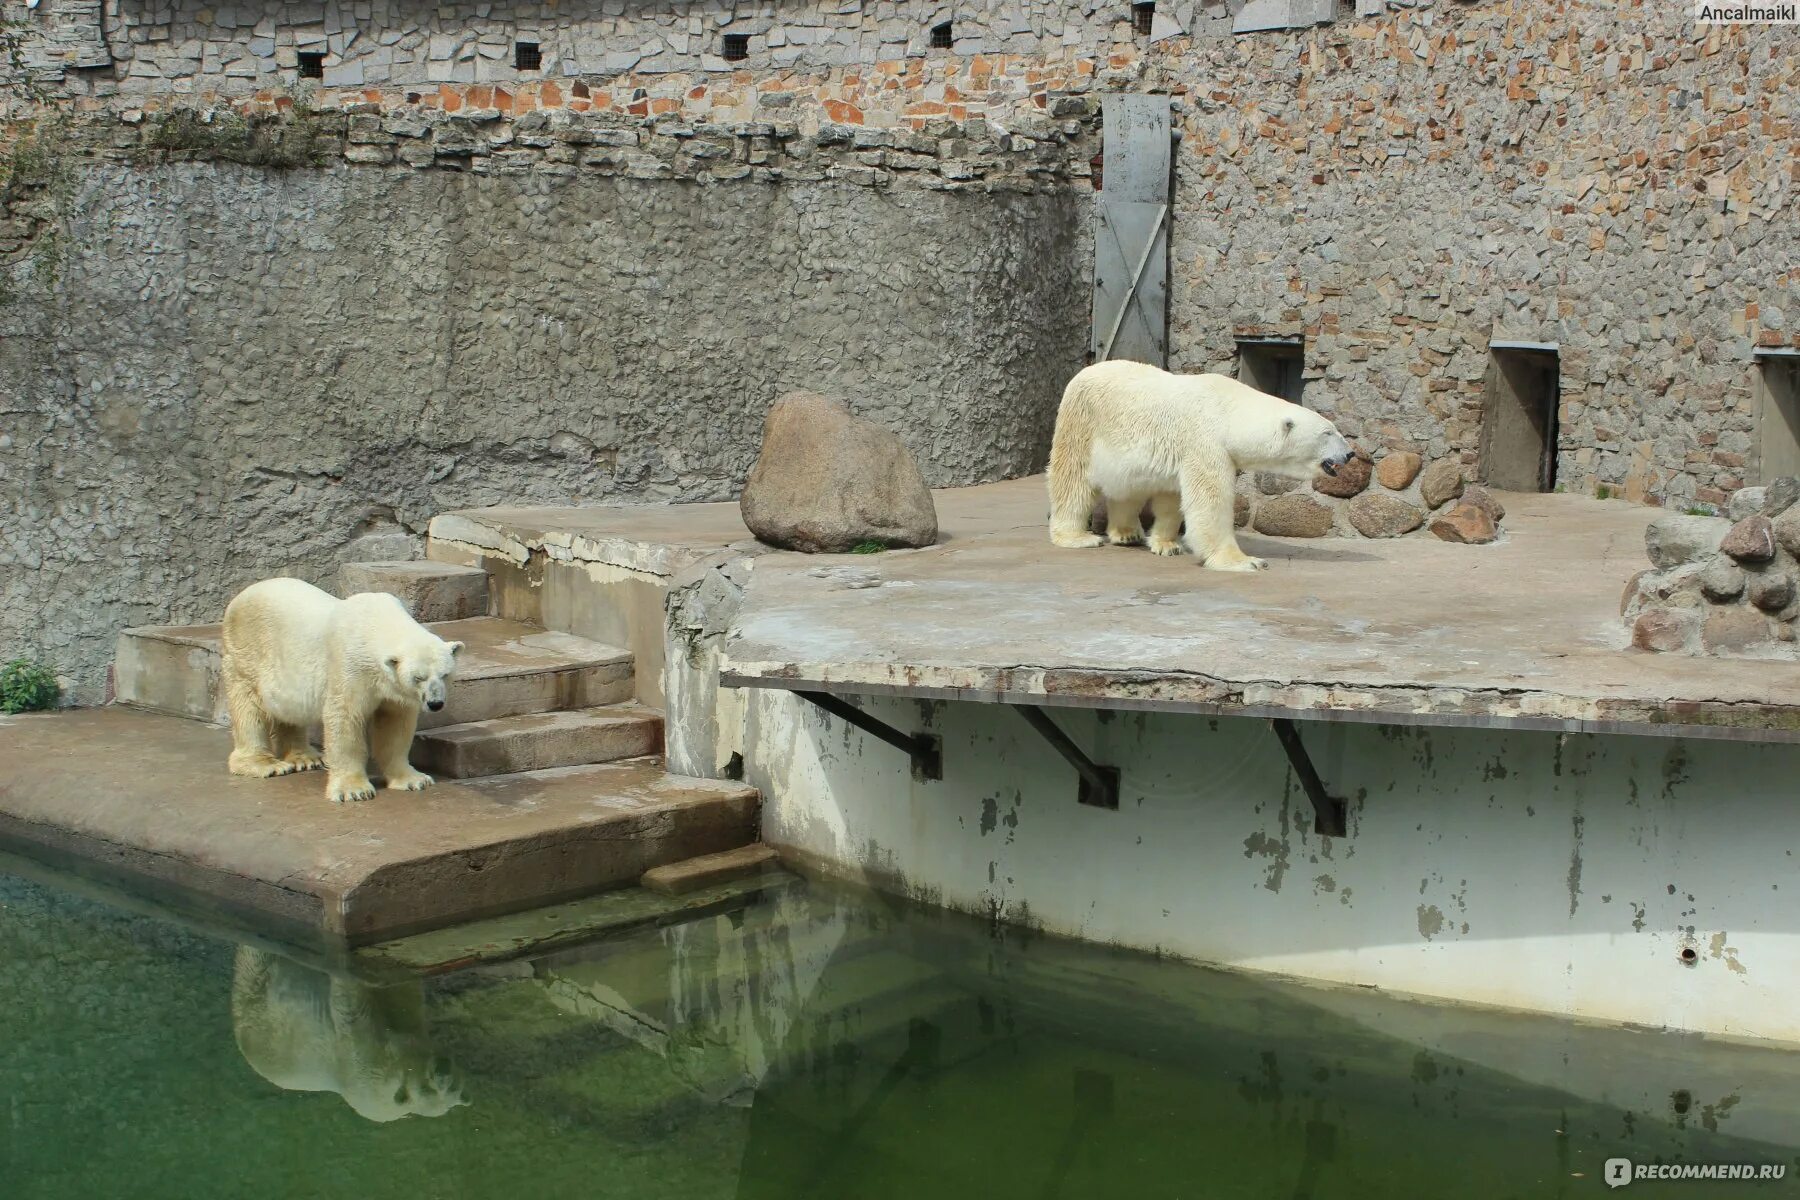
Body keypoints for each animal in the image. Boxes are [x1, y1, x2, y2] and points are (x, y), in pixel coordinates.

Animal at [219, 575, 464, 802]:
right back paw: (265, 764)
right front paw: (353, 790)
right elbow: (345, 717)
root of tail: (239, 598)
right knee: (248, 707)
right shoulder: (349, 666)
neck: (374, 623)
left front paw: (414, 779)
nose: (435, 703)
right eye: (418, 678)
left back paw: (305, 758)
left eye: (445, 674)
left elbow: (396, 724)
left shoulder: (392, 689)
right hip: (247, 653)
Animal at [230, 949, 464, 1129]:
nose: (442, 1071)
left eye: (453, 1088)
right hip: (257, 993)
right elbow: (350, 1003)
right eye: (427, 1087)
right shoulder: (361, 1056)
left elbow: (400, 995)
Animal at [1044, 361, 1353, 572]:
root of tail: (1083, 372)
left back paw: (1127, 533)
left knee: (1129, 487)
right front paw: (1245, 561)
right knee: (1073, 477)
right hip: (1082, 421)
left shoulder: (1180, 451)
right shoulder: (1204, 441)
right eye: (1328, 432)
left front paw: (1167, 545)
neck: (1228, 410)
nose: (1350, 454)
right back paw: (1077, 537)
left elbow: (1171, 498)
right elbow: (1211, 501)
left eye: (1335, 429)